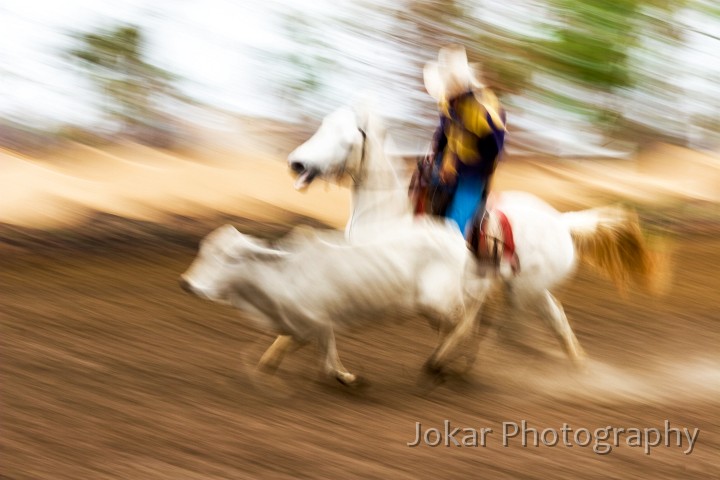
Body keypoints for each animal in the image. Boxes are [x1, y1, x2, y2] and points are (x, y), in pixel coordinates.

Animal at [284, 104, 656, 368]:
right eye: (321, 126)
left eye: (345, 137)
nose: (297, 163)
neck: (387, 212)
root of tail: (562, 222)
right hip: (529, 288)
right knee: (555, 318)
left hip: (523, 290)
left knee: (508, 320)